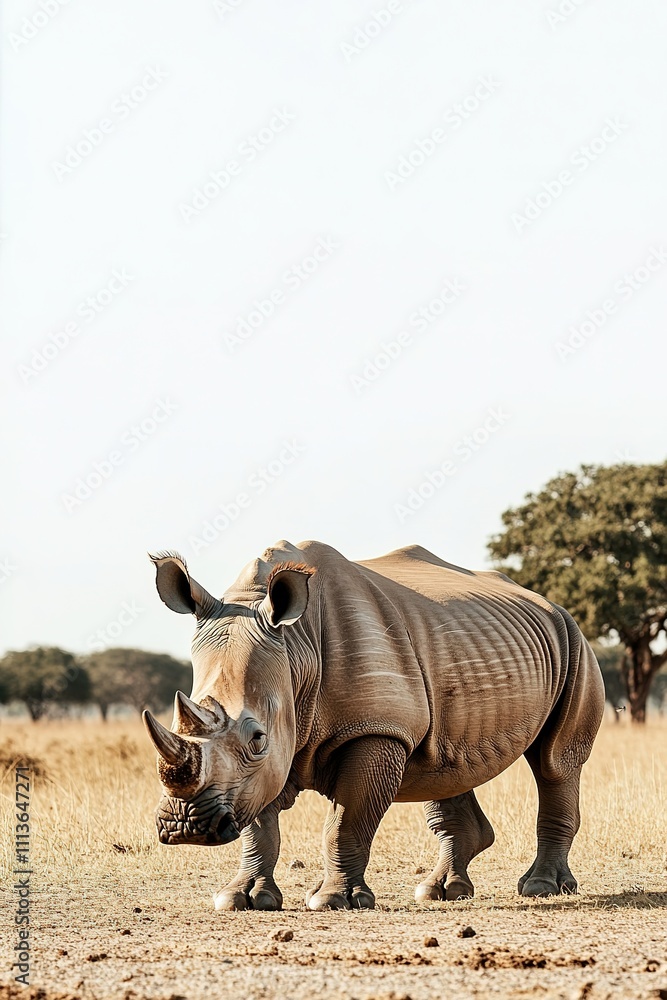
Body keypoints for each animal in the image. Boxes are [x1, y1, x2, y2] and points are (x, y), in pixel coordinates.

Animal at [143, 539, 604, 911]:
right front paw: (243, 899)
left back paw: (541, 888)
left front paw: (334, 902)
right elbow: (259, 825)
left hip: (575, 642)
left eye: (257, 738)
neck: (295, 649)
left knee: (555, 763)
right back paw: (441, 893)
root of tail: (548, 602)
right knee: (444, 766)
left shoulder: (375, 729)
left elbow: (345, 822)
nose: (184, 826)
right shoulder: (269, 753)